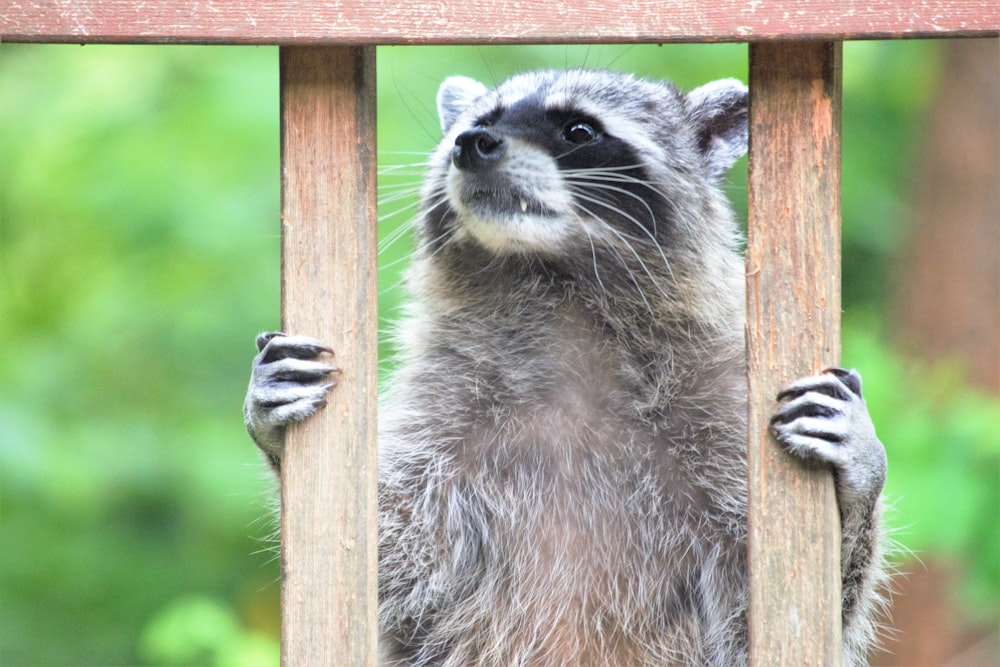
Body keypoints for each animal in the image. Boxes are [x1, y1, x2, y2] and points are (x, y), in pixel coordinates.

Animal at [246, 70, 888, 664]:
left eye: (579, 130)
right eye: (482, 118)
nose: (471, 142)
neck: (557, 288)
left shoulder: (723, 416)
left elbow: (772, 614)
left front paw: (858, 486)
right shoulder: (445, 412)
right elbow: (390, 551)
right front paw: (273, 437)